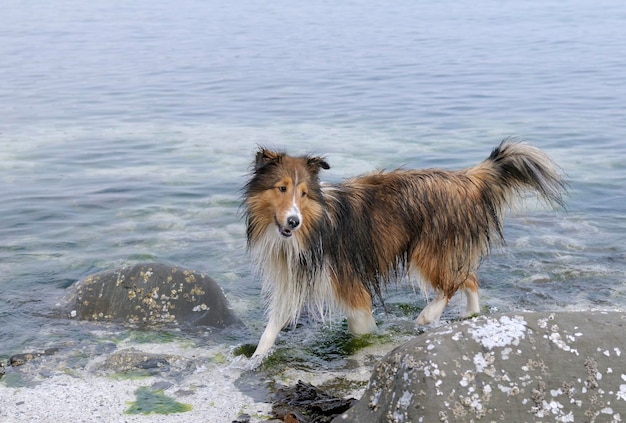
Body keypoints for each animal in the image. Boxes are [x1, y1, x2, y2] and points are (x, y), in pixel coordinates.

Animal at [241, 140, 564, 358]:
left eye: (304, 193)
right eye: (281, 188)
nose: (293, 221)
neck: (312, 228)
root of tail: (464, 179)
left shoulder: (350, 286)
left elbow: (361, 330)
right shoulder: (293, 282)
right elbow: (272, 327)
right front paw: (255, 359)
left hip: (428, 252)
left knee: (453, 283)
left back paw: (429, 316)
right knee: (469, 278)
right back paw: (470, 316)